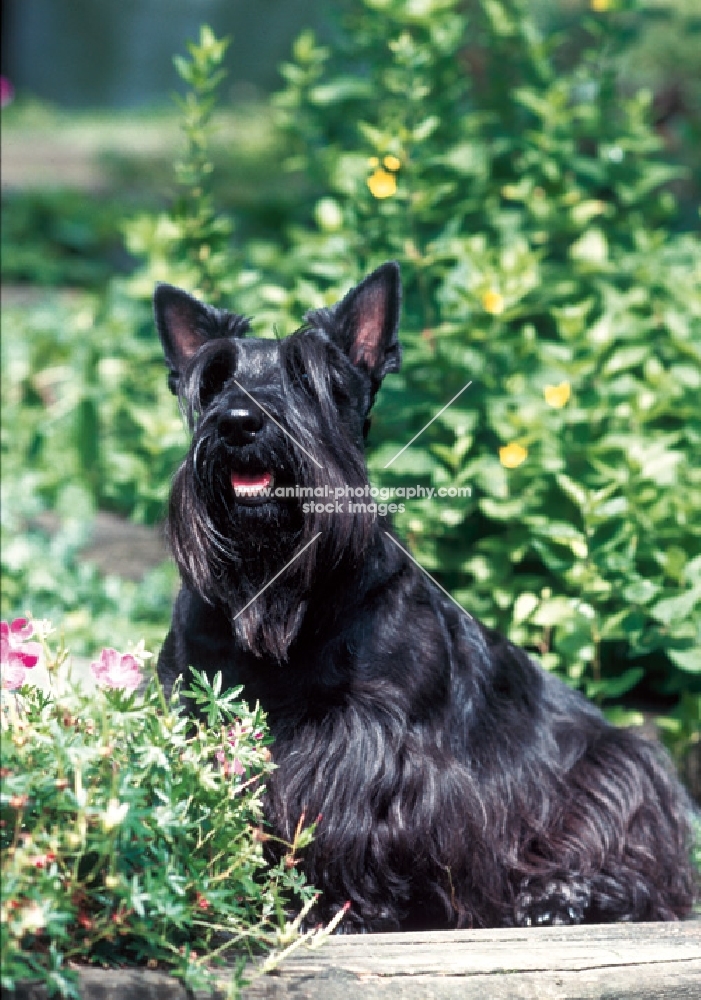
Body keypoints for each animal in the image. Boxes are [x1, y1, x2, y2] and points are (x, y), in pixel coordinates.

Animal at [153, 260, 696, 928]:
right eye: (213, 382)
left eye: (312, 379)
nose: (238, 422)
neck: (281, 597)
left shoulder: (380, 744)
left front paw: (347, 906)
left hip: (618, 767)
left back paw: (563, 897)